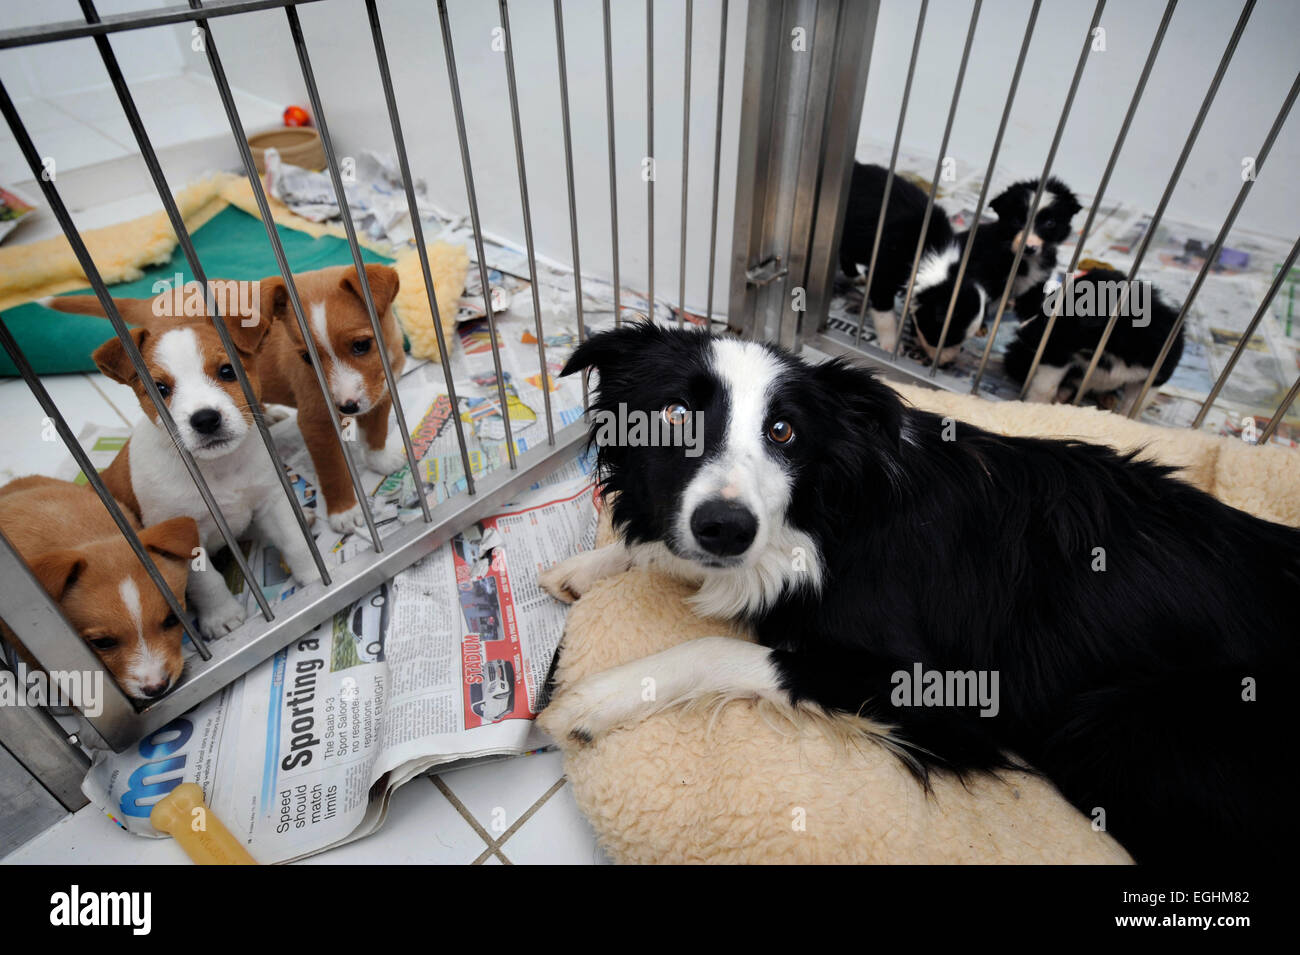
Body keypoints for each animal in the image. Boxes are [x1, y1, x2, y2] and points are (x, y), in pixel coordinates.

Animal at [543, 323, 1294, 867]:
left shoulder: (950, 695)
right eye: (674, 414)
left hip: (1111, 725)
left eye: (784, 431)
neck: (832, 510)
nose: (726, 527)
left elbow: (715, 651)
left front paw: (596, 699)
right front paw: (587, 565)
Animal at [842, 162, 982, 363]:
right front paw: (891, 344)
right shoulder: (883, 271)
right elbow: (885, 312)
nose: (948, 363)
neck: (929, 253)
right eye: (946, 339)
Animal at [1003, 265, 1190, 410]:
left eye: (1054, 317)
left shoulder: (1156, 374)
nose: (1020, 332)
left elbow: (1134, 405)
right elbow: (1045, 384)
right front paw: (1035, 407)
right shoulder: (1056, 354)